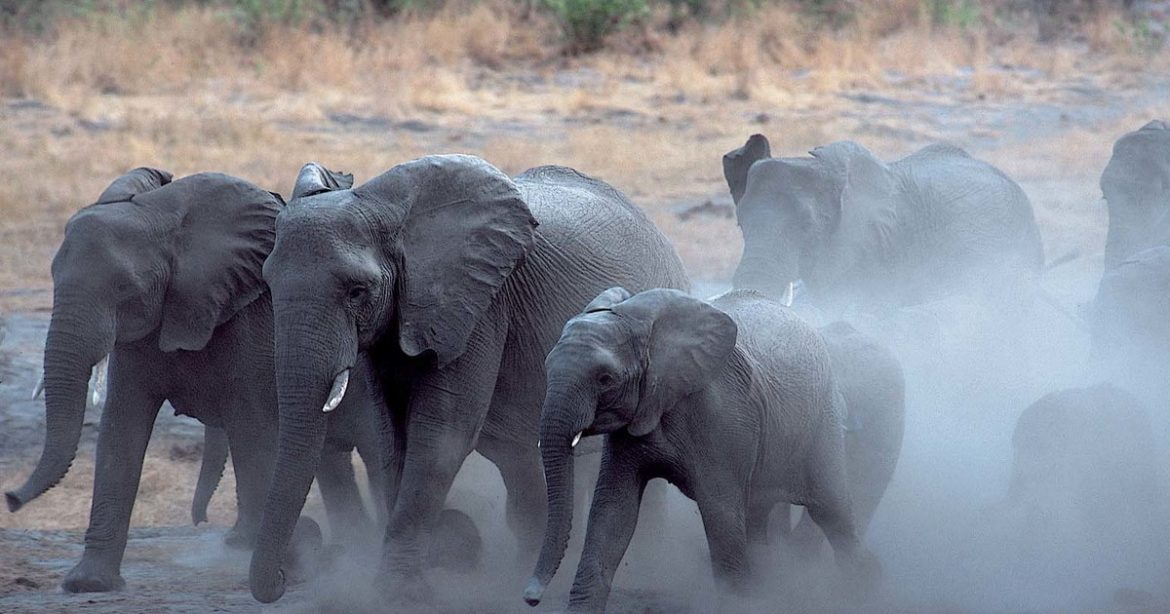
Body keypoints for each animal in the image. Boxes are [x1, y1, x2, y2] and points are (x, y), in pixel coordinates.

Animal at [4, 168, 383, 593]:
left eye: (124, 288)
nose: (10, 498)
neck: (162, 220)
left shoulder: (251, 324)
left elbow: (250, 430)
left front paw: (291, 552)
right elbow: (121, 428)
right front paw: (89, 583)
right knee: (331, 460)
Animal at [248, 155, 689, 604]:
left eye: (357, 292)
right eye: (268, 282)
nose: (284, 578)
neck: (392, 212)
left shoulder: (479, 302)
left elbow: (441, 433)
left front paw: (398, 593)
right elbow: (390, 432)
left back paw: (647, 568)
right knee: (520, 465)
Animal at [524, 288, 878, 613]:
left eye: (605, 378)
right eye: (546, 366)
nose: (531, 597)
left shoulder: (720, 417)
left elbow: (719, 515)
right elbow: (612, 513)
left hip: (822, 422)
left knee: (832, 512)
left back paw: (863, 591)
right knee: (757, 514)